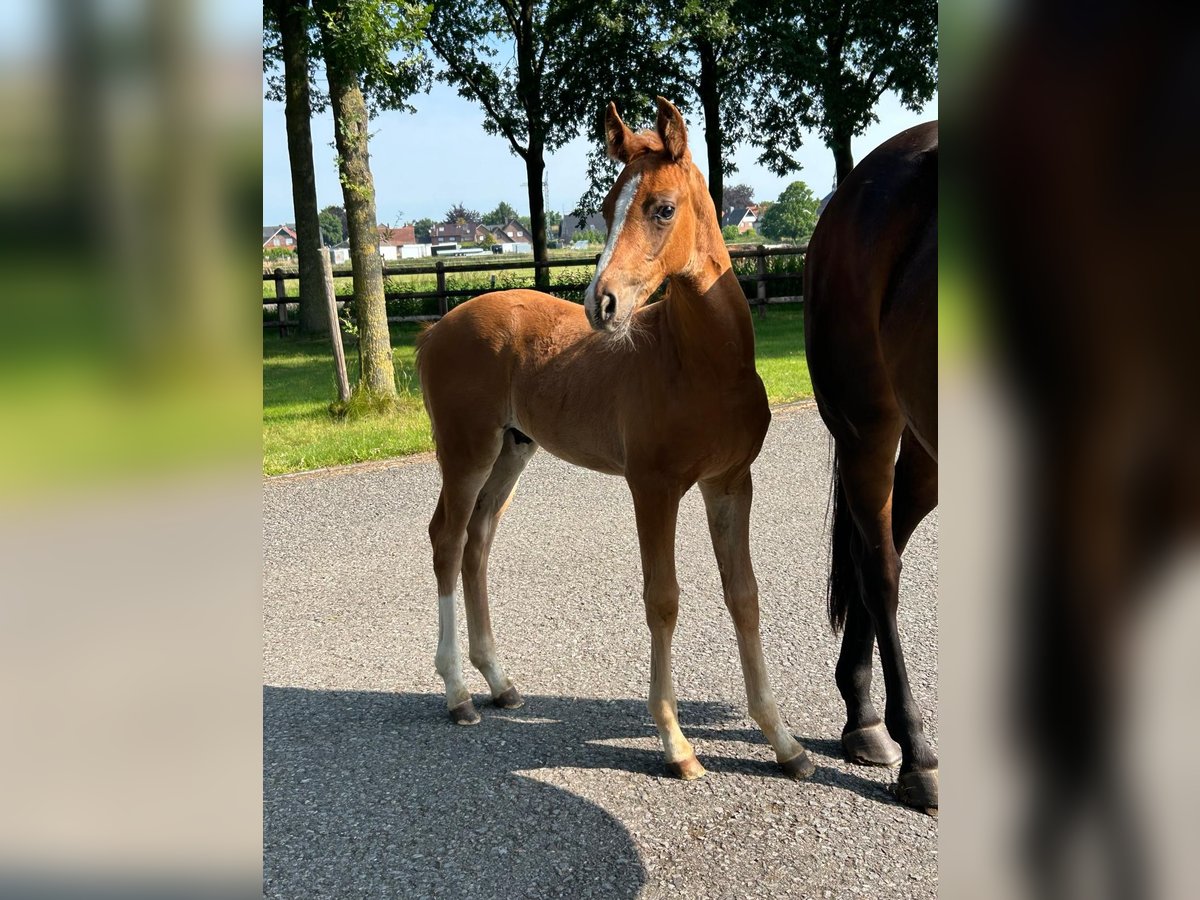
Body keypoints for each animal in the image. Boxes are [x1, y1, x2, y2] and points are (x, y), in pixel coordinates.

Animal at [415, 98, 816, 782]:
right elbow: (663, 599)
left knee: (478, 540)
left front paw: (785, 742)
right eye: (604, 208)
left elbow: (744, 596)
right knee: (448, 538)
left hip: (512, 450)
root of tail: (437, 325)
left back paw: (498, 682)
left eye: (662, 207)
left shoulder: (730, 483)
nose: (600, 304)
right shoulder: (653, 488)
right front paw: (676, 745)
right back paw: (457, 694)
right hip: (466, 450)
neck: (702, 365)